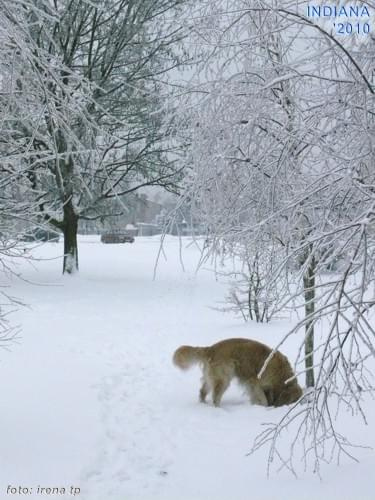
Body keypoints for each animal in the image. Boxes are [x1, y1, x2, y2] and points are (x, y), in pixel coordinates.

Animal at [175, 338, 304, 408]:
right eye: (293, 402)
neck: (281, 375)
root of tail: (210, 348)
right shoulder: (253, 382)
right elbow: (263, 399)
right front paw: (263, 406)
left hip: (212, 377)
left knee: (202, 391)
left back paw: (203, 404)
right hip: (224, 378)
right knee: (216, 397)